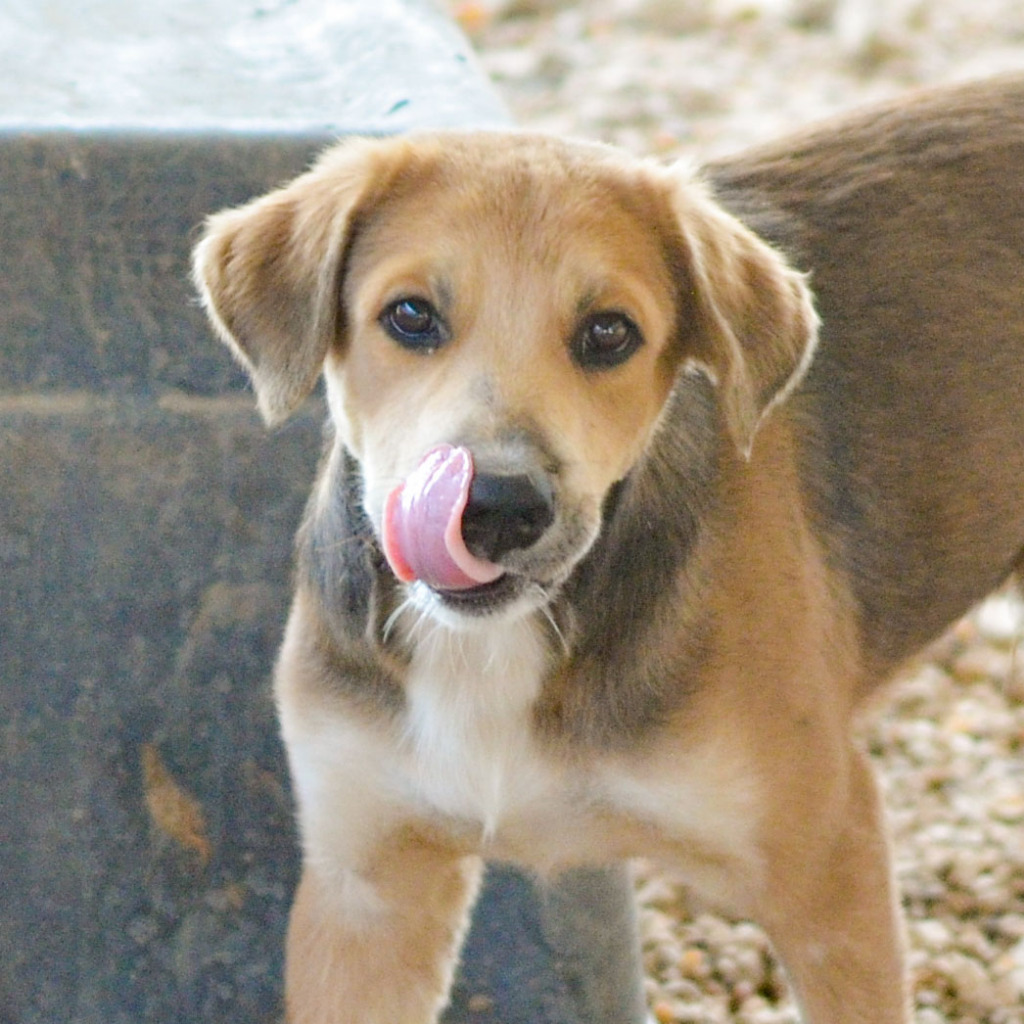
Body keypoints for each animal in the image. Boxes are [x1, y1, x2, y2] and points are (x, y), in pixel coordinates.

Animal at [192, 74, 1024, 1024]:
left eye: (609, 333)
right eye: (409, 315)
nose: (497, 510)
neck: (496, 647)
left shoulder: (830, 866)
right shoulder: (366, 889)